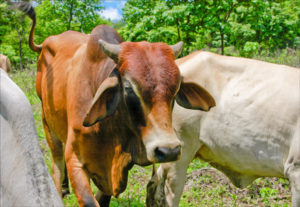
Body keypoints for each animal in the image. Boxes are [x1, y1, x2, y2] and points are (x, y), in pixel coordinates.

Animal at [24, 3, 216, 207]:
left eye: (176, 88)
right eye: (129, 88)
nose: (169, 150)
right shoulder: (74, 158)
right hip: (47, 122)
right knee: (57, 165)